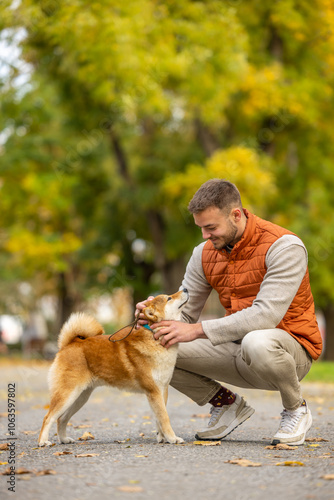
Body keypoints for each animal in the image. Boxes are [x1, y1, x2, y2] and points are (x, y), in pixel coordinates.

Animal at [38, 288, 189, 448]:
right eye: (169, 298)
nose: (185, 289)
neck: (154, 336)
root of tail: (69, 344)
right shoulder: (153, 391)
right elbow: (165, 418)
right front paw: (173, 438)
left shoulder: (162, 390)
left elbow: (159, 418)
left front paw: (163, 437)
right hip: (68, 394)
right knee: (48, 417)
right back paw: (43, 441)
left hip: (80, 396)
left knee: (62, 418)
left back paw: (64, 439)